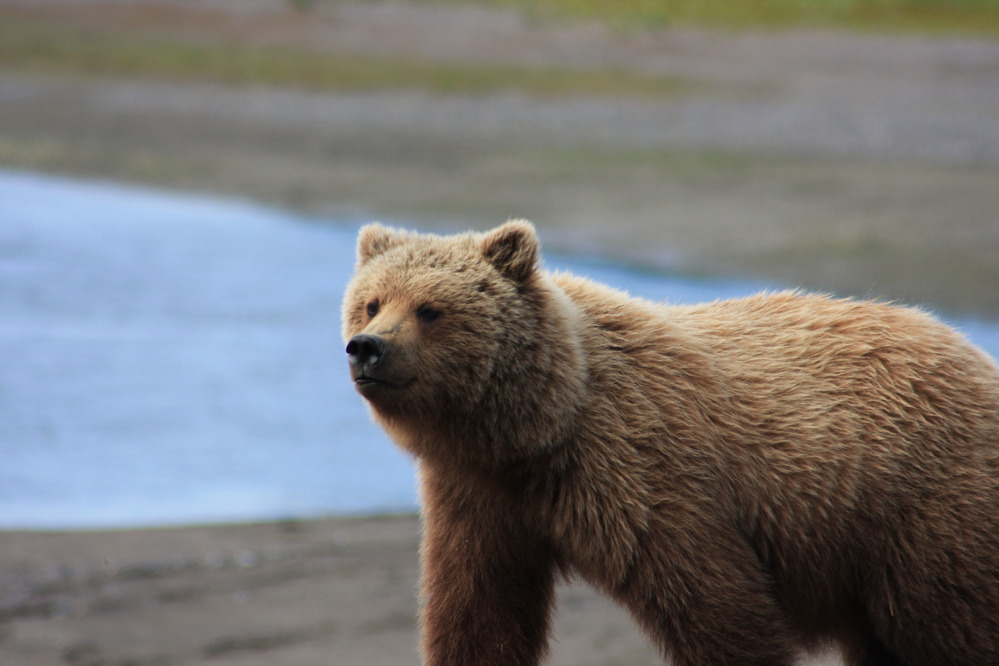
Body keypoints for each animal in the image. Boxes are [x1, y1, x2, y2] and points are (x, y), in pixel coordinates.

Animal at [341, 220, 999, 666]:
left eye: (430, 309)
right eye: (371, 303)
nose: (368, 348)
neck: (534, 431)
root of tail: (974, 354)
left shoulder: (646, 474)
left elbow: (718, 613)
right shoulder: (480, 499)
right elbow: (479, 613)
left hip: (919, 515)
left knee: (947, 628)